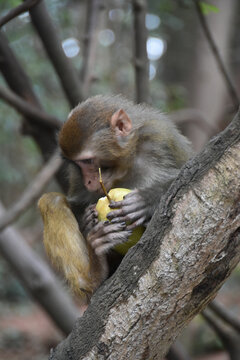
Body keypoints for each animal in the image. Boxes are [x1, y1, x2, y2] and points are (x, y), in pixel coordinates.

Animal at [38, 95, 191, 300]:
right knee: (52, 202)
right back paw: (94, 276)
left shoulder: (160, 139)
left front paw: (148, 200)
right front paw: (87, 220)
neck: (125, 163)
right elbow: (76, 203)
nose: (88, 181)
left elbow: (185, 173)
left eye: (87, 160)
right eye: (77, 165)